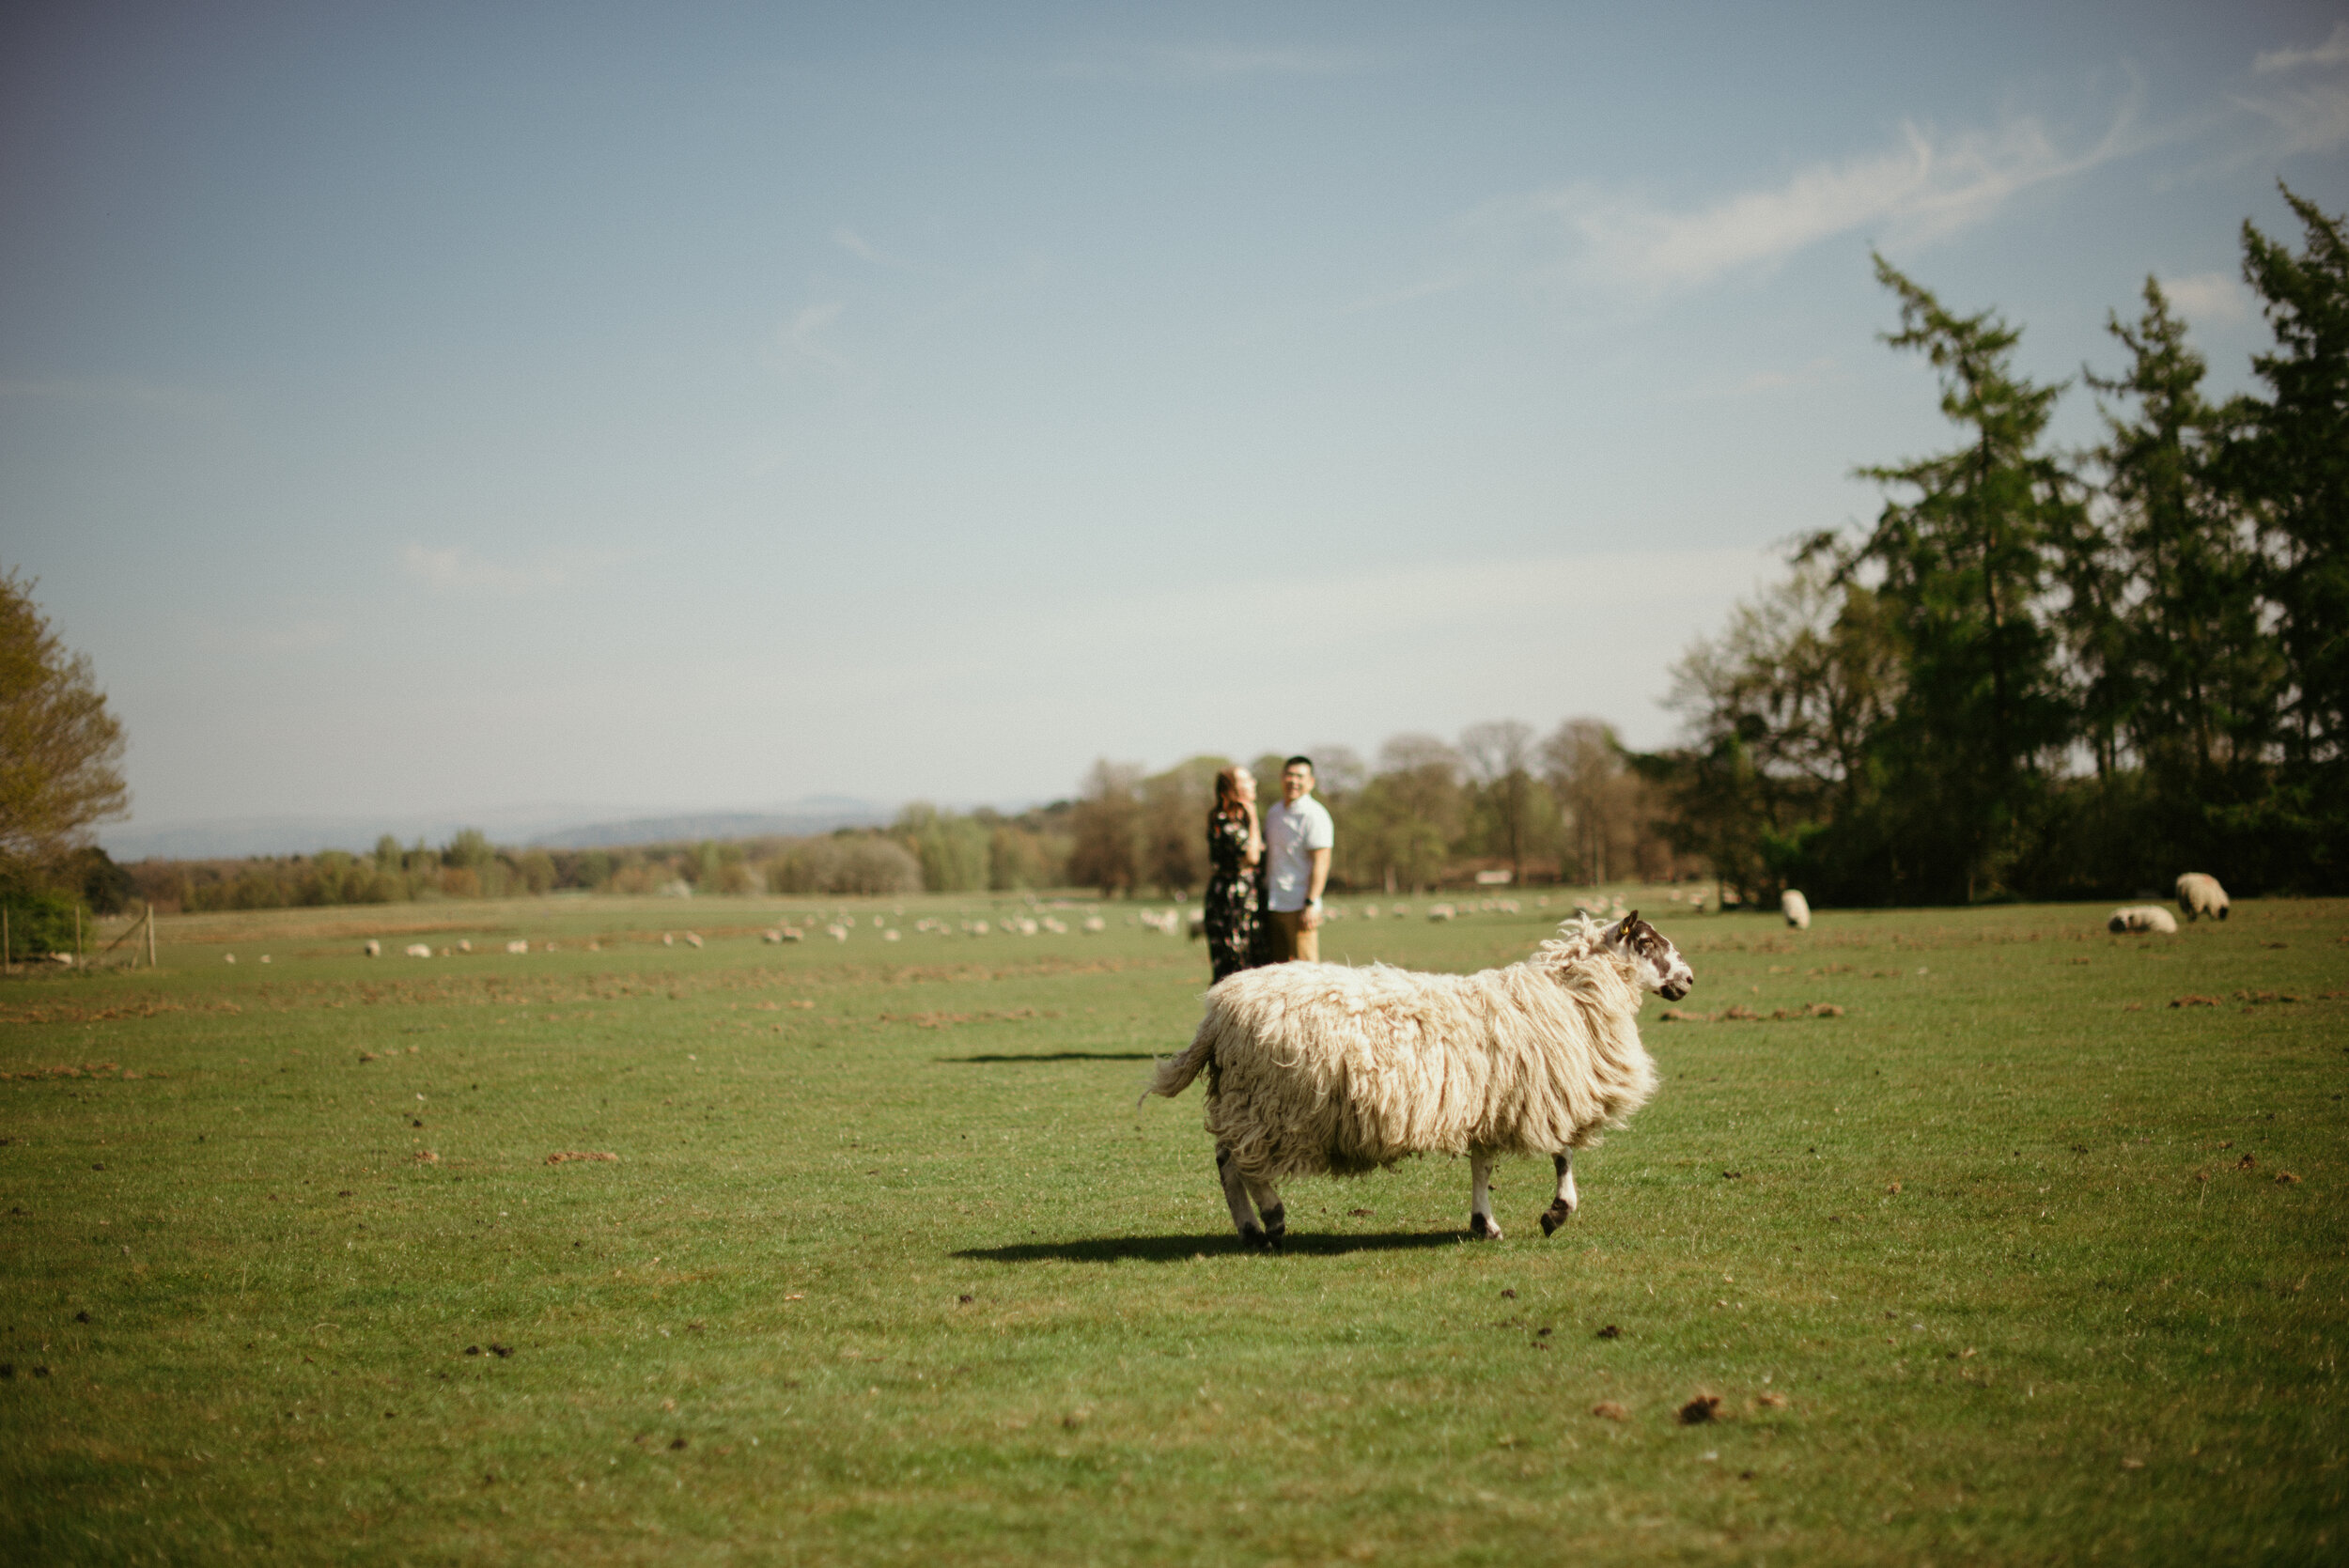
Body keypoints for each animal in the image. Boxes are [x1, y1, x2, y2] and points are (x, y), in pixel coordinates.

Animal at [1137, 910, 1691, 1239]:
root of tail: (1217, 1010)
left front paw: (1483, 1223)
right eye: (1646, 941)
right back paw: (1271, 1218)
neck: (1573, 998)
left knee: (1227, 1161)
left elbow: (1483, 1165)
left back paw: (1252, 1229)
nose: (1687, 978)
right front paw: (1556, 1213)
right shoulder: (1546, 1092)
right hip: (1271, 1103)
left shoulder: (1491, 1100)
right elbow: (1563, 1155)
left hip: (1248, 1098)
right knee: (1243, 1165)